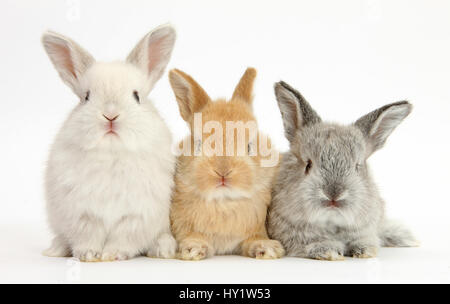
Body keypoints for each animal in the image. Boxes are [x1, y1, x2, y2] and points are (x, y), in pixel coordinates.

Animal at [42, 25, 178, 262]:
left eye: (137, 96)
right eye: (86, 97)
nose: (110, 115)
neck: (112, 153)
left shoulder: (137, 215)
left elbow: (124, 236)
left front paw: (112, 254)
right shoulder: (82, 213)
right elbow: (89, 234)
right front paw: (89, 255)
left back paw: (163, 250)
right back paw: (54, 250)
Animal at [169, 67, 284, 260]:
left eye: (249, 146)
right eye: (198, 143)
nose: (223, 172)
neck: (224, 202)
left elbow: (255, 238)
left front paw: (267, 248)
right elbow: (191, 235)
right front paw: (194, 248)